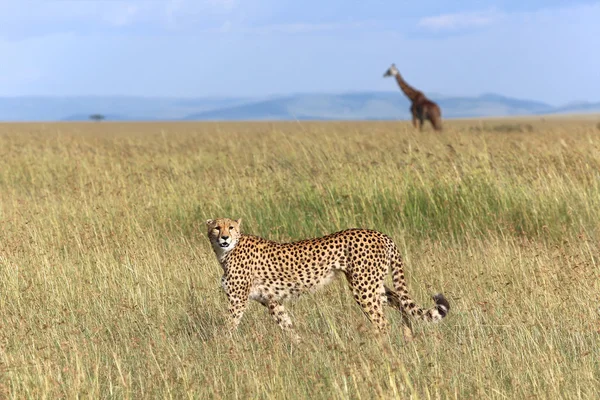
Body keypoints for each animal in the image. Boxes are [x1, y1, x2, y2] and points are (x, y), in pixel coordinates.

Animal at [206, 219, 450, 340]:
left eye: (231, 227)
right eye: (217, 227)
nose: (224, 237)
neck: (226, 252)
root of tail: (381, 234)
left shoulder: (238, 300)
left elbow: (230, 324)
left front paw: (222, 348)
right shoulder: (272, 301)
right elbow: (287, 325)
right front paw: (301, 347)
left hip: (363, 287)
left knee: (382, 321)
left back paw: (380, 348)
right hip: (373, 284)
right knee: (399, 301)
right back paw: (408, 337)